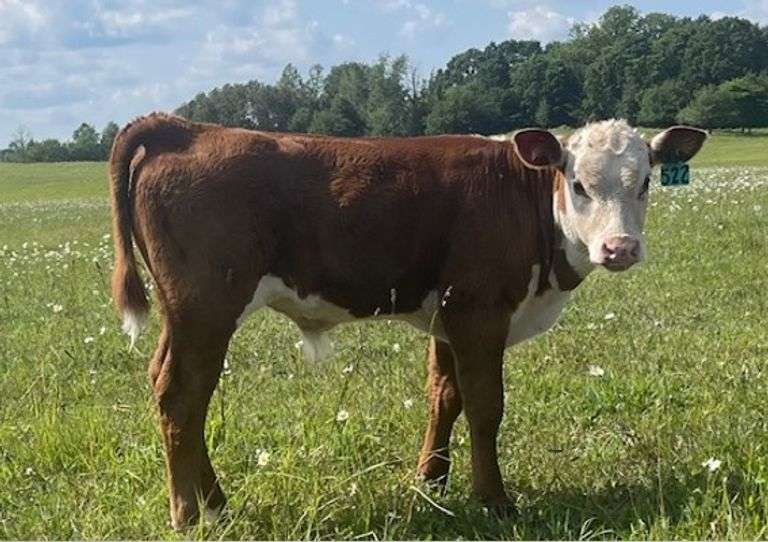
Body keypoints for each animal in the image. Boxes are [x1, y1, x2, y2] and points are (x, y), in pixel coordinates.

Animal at [109, 113, 705, 528]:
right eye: (578, 184)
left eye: (645, 183)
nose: (620, 248)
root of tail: (187, 128)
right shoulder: (480, 310)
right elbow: (485, 406)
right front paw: (494, 500)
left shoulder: (449, 315)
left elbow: (445, 396)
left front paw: (431, 482)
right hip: (205, 309)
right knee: (181, 396)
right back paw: (192, 514)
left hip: (187, 316)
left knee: (172, 391)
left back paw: (214, 503)